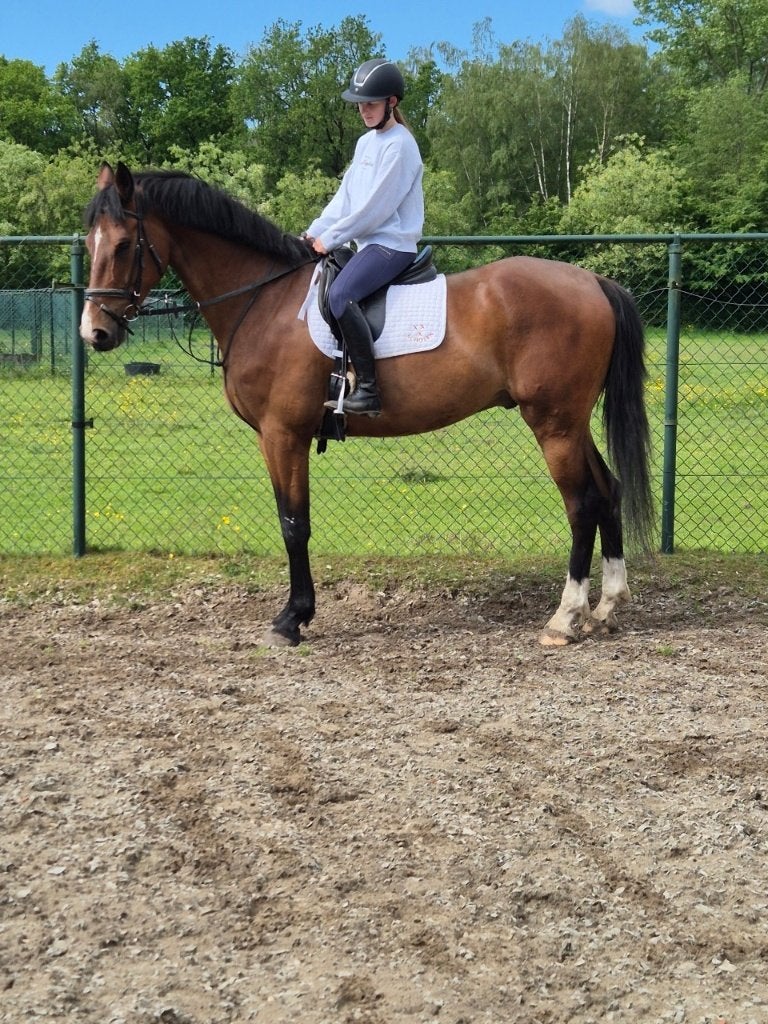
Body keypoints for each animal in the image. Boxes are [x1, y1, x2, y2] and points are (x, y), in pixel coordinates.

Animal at [80, 161, 653, 647]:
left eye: (125, 244)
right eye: (89, 242)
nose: (95, 333)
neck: (265, 302)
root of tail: (592, 281)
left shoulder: (282, 434)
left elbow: (294, 524)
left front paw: (292, 619)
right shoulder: (279, 436)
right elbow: (293, 522)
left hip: (553, 424)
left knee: (581, 503)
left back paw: (565, 617)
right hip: (572, 423)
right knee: (608, 491)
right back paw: (606, 608)